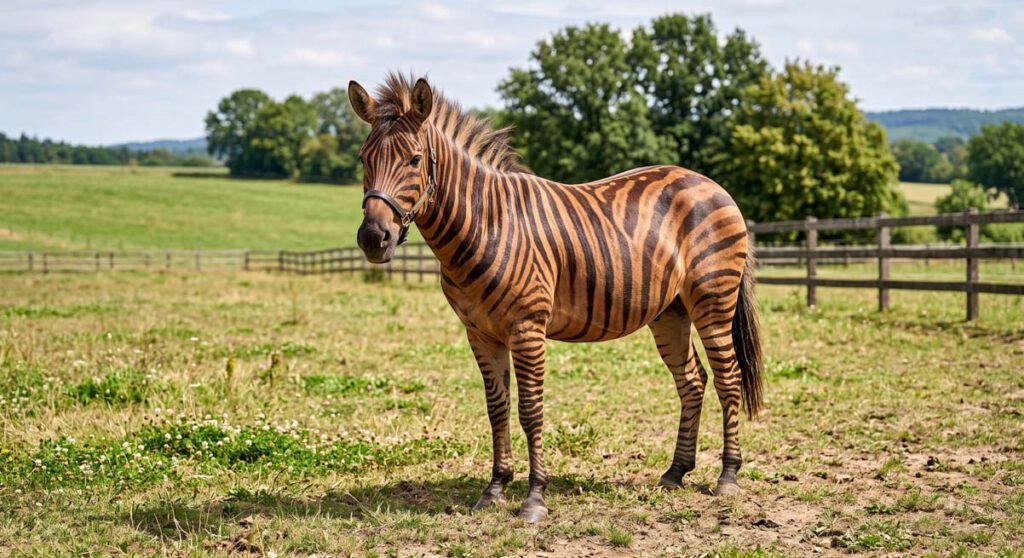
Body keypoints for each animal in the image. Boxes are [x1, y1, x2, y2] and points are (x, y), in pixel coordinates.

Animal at [349, 73, 764, 523]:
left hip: (713, 300)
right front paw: (495, 489)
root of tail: (710, 184)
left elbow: (531, 411)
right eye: (363, 159)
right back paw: (675, 472)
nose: (373, 239)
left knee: (728, 378)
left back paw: (728, 477)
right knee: (692, 380)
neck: (487, 223)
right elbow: (497, 409)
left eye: (414, 159)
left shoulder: (527, 327)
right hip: (670, 311)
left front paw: (534, 498)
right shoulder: (479, 332)